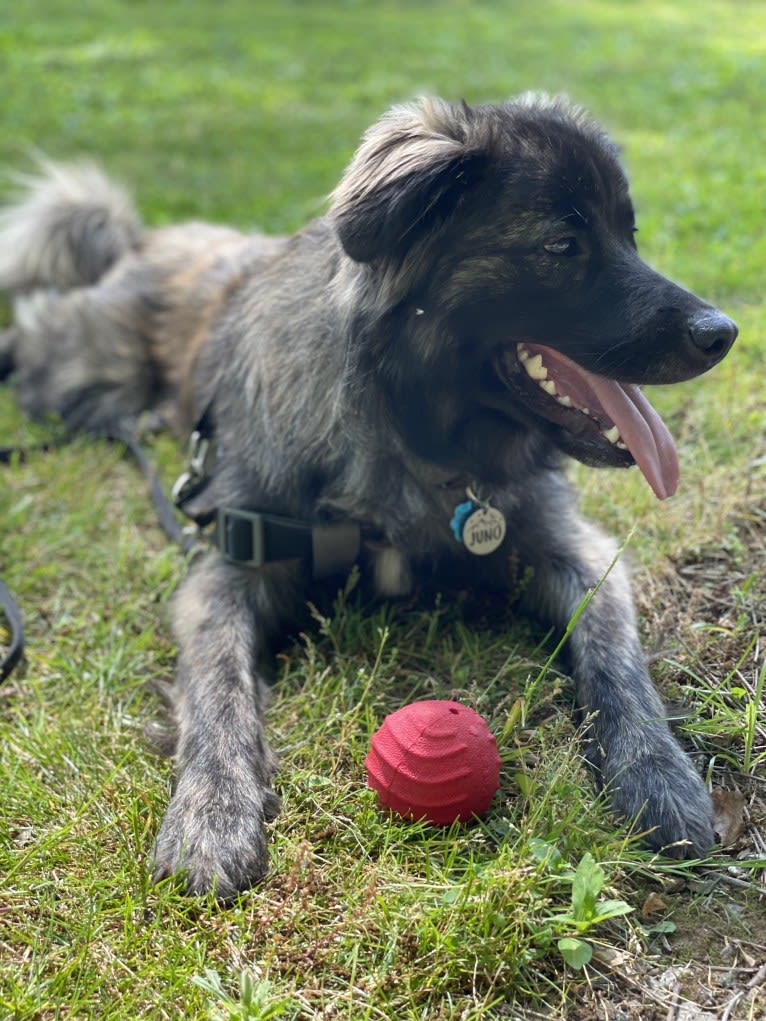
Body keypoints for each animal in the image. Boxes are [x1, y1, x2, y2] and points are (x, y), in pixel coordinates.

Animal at [1, 93, 743, 894]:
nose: (723, 333)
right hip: (81, 373)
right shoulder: (227, 569)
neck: (411, 435)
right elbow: (218, 688)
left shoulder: (573, 547)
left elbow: (616, 659)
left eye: (628, 235)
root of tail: (142, 240)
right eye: (560, 246)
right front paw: (212, 812)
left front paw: (657, 772)